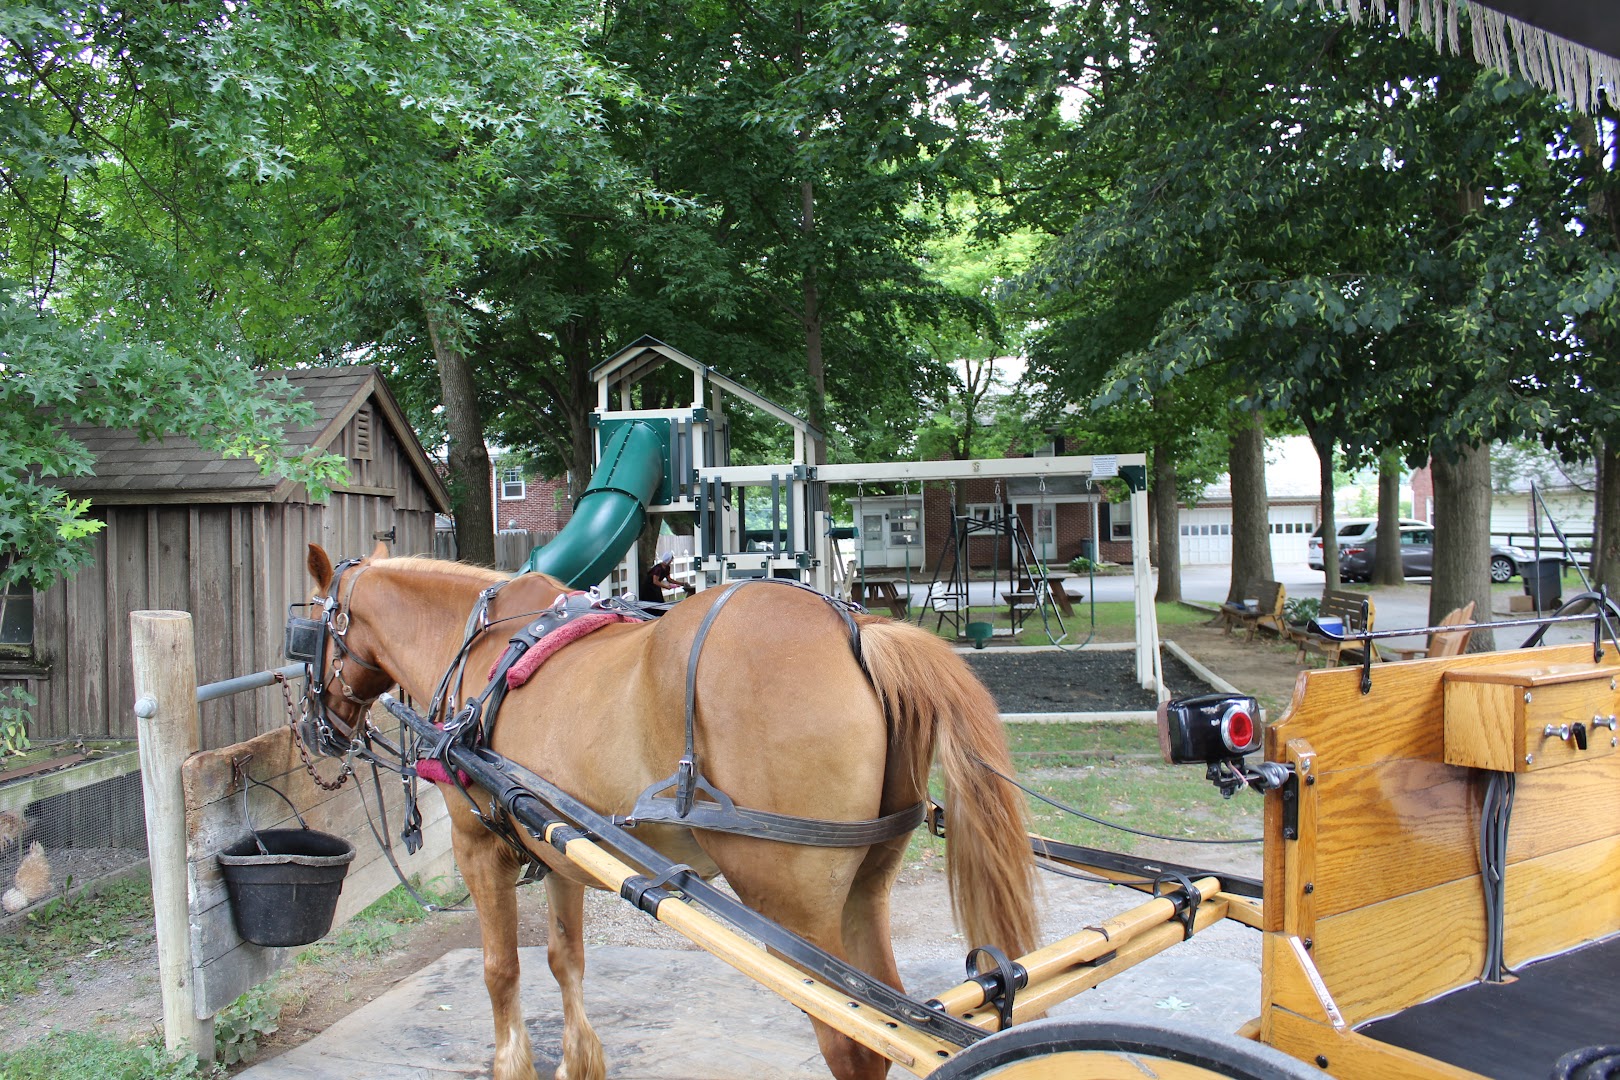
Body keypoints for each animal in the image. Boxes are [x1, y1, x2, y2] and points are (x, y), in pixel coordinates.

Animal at [304, 550, 1036, 1080]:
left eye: (308, 630)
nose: (316, 731)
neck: (480, 649)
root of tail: (858, 629)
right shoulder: (558, 845)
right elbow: (565, 958)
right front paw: (580, 1063)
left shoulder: (477, 845)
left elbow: (500, 969)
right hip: (864, 885)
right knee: (894, 1019)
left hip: (791, 902)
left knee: (856, 1044)